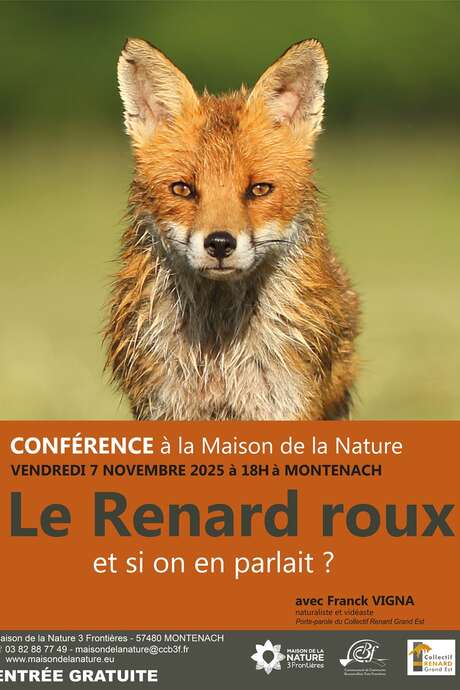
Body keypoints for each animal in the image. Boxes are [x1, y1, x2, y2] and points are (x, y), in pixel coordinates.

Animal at [106, 38, 359, 420]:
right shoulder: (165, 405)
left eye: (259, 189)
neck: (218, 355)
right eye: (183, 189)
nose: (220, 244)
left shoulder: (283, 404)